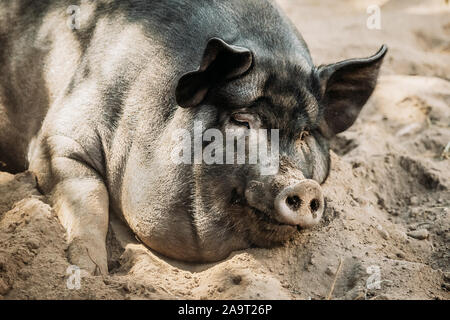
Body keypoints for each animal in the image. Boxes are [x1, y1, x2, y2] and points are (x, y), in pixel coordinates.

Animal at [0, 0, 386, 276]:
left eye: (304, 132)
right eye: (241, 120)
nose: (304, 187)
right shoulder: (55, 140)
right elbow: (88, 195)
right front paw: (91, 272)